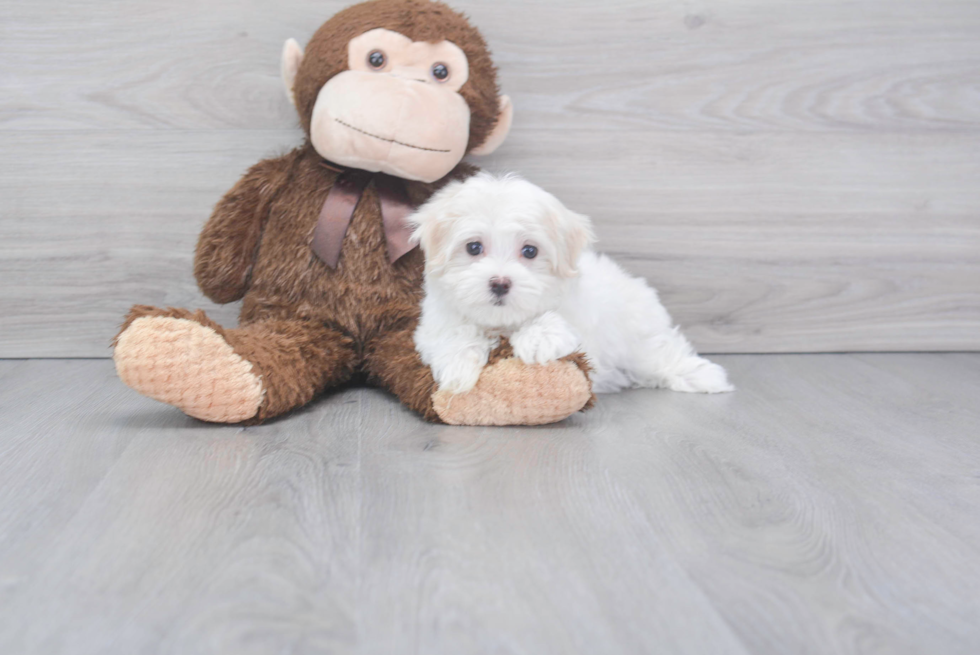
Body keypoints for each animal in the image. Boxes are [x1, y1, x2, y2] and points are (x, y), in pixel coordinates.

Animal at [408, 172, 736, 398]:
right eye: (474, 247)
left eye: (530, 251)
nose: (500, 283)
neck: (503, 324)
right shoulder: (433, 325)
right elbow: (453, 333)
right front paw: (459, 367)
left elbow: (556, 324)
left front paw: (538, 338)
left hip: (639, 334)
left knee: (660, 352)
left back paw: (702, 375)